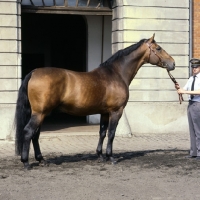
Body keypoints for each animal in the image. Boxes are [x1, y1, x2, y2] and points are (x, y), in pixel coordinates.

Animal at [15, 34, 175, 169]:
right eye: (158, 48)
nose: (173, 63)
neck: (116, 74)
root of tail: (34, 72)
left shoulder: (104, 113)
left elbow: (102, 133)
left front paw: (100, 156)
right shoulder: (116, 111)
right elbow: (111, 133)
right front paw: (111, 157)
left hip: (41, 114)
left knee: (36, 135)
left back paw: (41, 160)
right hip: (40, 113)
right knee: (28, 132)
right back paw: (26, 163)